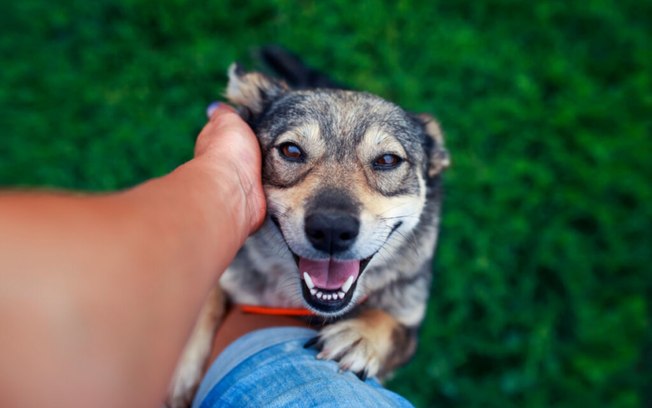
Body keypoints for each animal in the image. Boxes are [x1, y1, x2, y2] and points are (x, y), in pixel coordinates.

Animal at [167, 49, 448, 406]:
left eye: (387, 160)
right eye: (291, 150)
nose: (331, 229)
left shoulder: (410, 322)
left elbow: (391, 325)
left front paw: (360, 336)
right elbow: (209, 291)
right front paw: (181, 367)